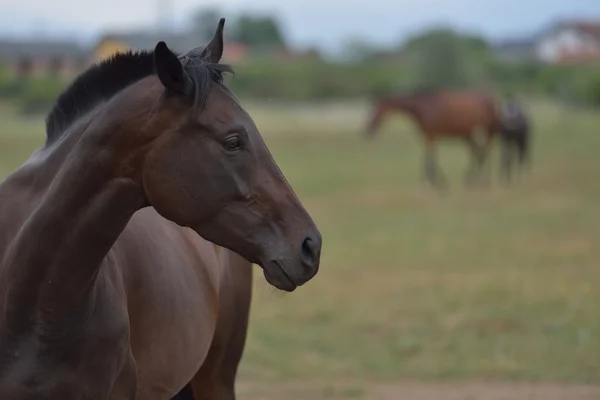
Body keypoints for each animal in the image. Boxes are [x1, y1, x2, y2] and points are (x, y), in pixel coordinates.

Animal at [366, 88, 502, 191]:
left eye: (377, 110)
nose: (369, 130)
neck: (423, 107)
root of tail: (490, 100)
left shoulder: (431, 136)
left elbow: (429, 159)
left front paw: (435, 183)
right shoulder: (429, 137)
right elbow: (428, 158)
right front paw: (436, 181)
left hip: (485, 132)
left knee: (483, 152)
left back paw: (480, 181)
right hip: (469, 135)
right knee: (479, 153)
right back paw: (476, 180)